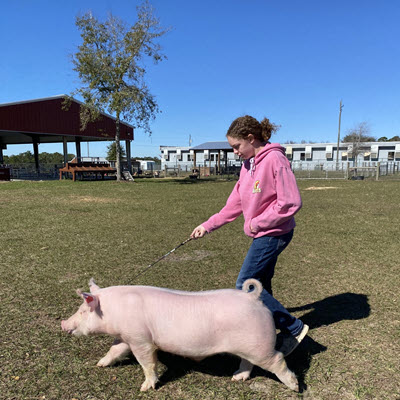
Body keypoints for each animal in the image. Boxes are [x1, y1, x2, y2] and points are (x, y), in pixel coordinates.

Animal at [61, 276, 298, 392]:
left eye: (83, 311)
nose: (63, 324)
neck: (115, 311)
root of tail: (253, 298)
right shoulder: (127, 337)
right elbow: (115, 350)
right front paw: (99, 364)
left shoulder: (141, 340)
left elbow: (147, 363)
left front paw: (145, 389)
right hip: (249, 347)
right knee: (247, 363)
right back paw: (236, 378)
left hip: (260, 346)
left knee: (277, 359)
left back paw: (295, 388)